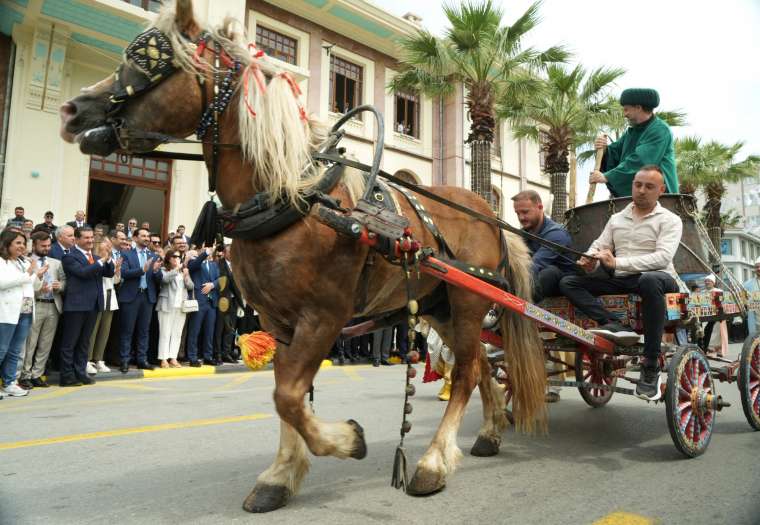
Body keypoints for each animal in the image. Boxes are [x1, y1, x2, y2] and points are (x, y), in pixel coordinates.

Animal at [59, 1, 548, 512]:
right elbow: (285, 394)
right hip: (440, 308)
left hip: (469, 302)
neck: (293, 199)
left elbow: (290, 396)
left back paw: (433, 462)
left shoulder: (323, 315)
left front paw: (347, 441)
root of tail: (489, 213)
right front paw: (282, 474)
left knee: (469, 370)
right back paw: (489, 434)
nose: (72, 109)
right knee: (478, 367)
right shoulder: (278, 321)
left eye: (148, 60)